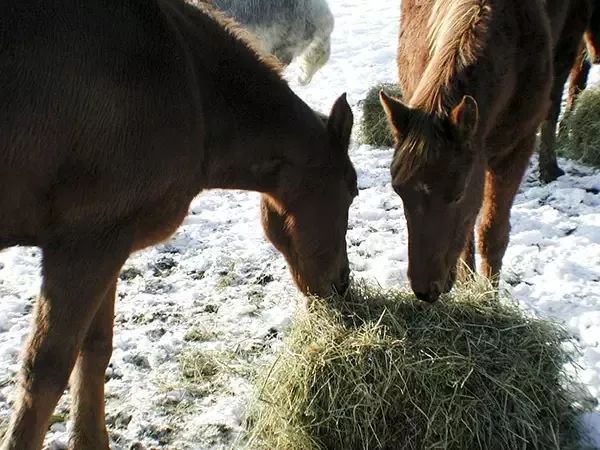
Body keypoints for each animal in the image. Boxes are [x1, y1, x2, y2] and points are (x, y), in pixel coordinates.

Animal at [0, 1, 356, 448]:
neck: (192, 87)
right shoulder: (85, 246)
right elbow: (45, 373)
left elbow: (95, 349)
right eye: (351, 191)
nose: (342, 283)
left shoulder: (111, 244)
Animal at [380, 0, 552, 302]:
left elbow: (493, 234)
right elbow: (466, 237)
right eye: (398, 191)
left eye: (458, 193)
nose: (424, 290)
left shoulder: (516, 150)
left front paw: (490, 298)